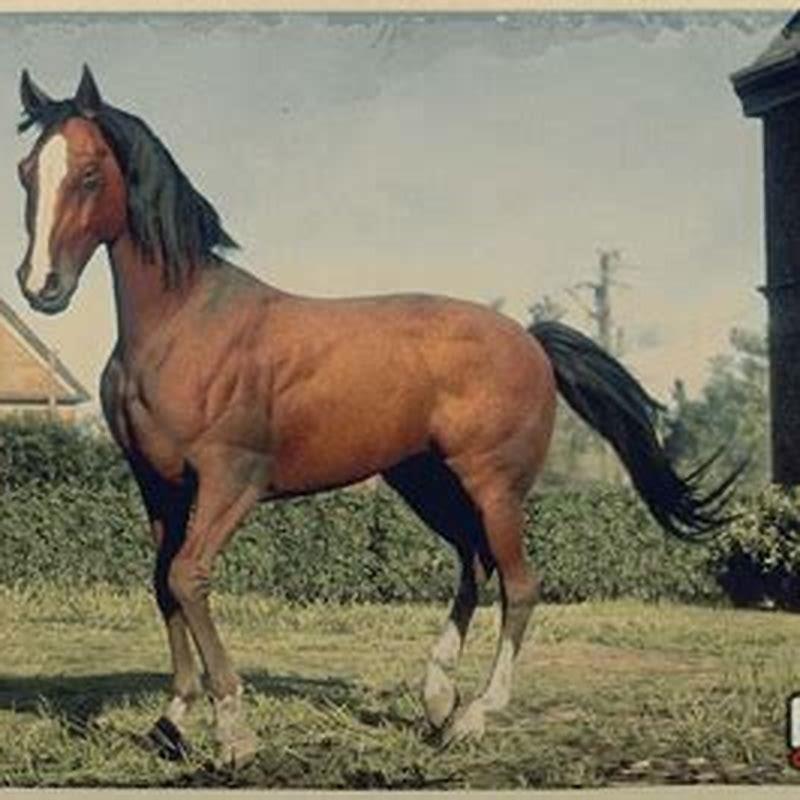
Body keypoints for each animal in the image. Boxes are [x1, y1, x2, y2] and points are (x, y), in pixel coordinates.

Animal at [14, 65, 739, 767]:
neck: (186, 325)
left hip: (494, 488)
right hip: (427, 482)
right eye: (26, 171)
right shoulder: (158, 485)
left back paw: (474, 716)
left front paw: (234, 733)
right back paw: (438, 699)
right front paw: (171, 723)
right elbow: (163, 586)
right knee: (475, 568)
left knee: (520, 584)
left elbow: (188, 578)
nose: (40, 286)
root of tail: (530, 341)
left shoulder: (229, 481)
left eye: (88, 172)